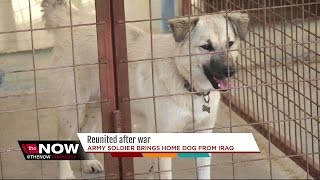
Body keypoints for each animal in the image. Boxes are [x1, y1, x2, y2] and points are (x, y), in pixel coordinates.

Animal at [41, 0, 249, 179]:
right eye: (206, 46)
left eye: (230, 44)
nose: (230, 71)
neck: (187, 83)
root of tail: (69, 19)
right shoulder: (163, 137)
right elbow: (165, 173)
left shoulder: (203, 133)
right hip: (71, 108)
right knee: (63, 137)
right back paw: (66, 174)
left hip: (100, 105)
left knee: (84, 130)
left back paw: (88, 163)